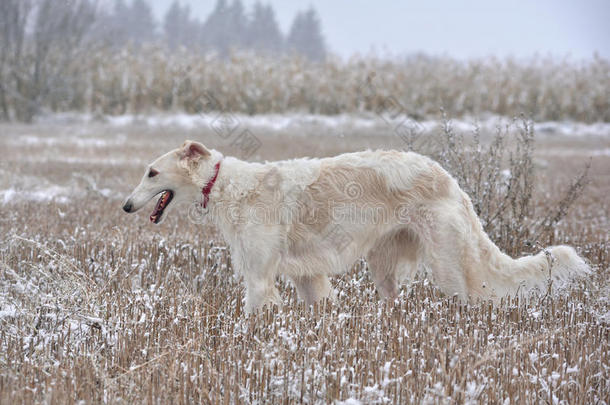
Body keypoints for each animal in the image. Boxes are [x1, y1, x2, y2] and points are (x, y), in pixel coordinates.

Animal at [122, 140, 584, 312]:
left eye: (151, 172)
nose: (126, 206)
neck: (231, 185)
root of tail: (449, 180)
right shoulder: (308, 275)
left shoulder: (259, 275)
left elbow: (254, 312)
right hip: (385, 265)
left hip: (448, 265)